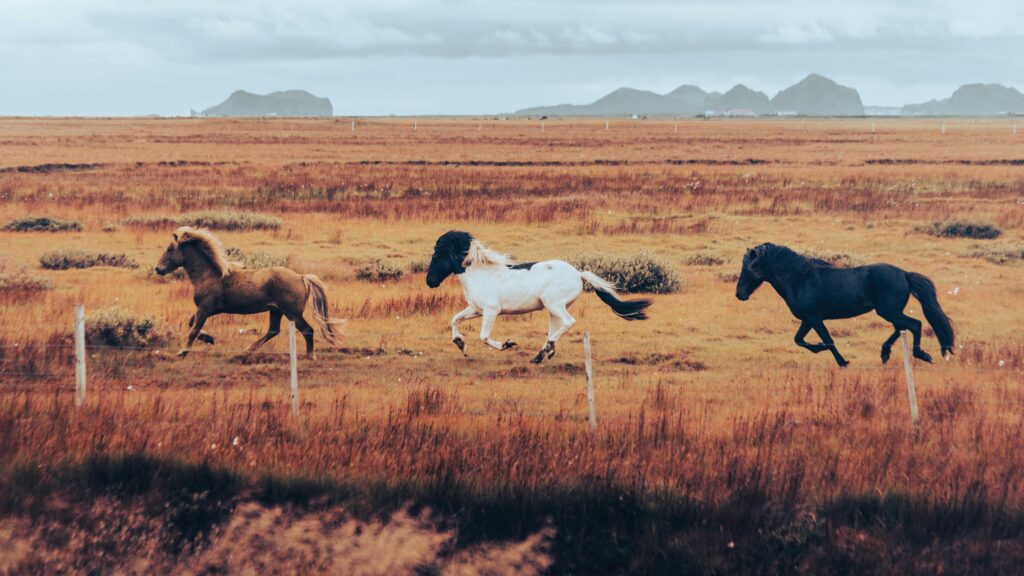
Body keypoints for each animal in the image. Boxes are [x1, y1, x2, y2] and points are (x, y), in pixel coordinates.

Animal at [154, 226, 342, 358]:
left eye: (170, 249)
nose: (158, 269)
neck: (209, 275)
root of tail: (301, 277)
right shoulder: (206, 310)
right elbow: (191, 323)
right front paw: (209, 339)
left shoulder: (205, 309)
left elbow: (193, 329)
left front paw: (183, 352)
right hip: (276, 310)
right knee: (273, 330)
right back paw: (248, 350)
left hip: (292, 313)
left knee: (307, 330)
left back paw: (310, 356)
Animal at [424, 231, 652, 364]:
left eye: (437, 255)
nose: (430, 281)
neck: (479, 274)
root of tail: (579, 273)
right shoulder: (475, 310)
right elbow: (455, 319)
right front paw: (461, 344)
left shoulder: (491, 311)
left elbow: (484, 336)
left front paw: (507, 344)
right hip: (553, 308)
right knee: (556, 327)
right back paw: (543, 353)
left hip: (555, 304)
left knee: (568, 322)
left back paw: (545, 350)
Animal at [734, 242, 955, 367]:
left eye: (750, 267)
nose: (739, 294)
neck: (799, 279)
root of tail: (904, 274)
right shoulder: (808, 319)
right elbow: (799, 340)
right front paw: (820, 348)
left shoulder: (814, 318)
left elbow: (827, 340)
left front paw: (842, 362)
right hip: (890, 312)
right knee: (902, 327)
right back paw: (885, 354)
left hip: (888, 311)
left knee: (915, 324)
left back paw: (922, 355)